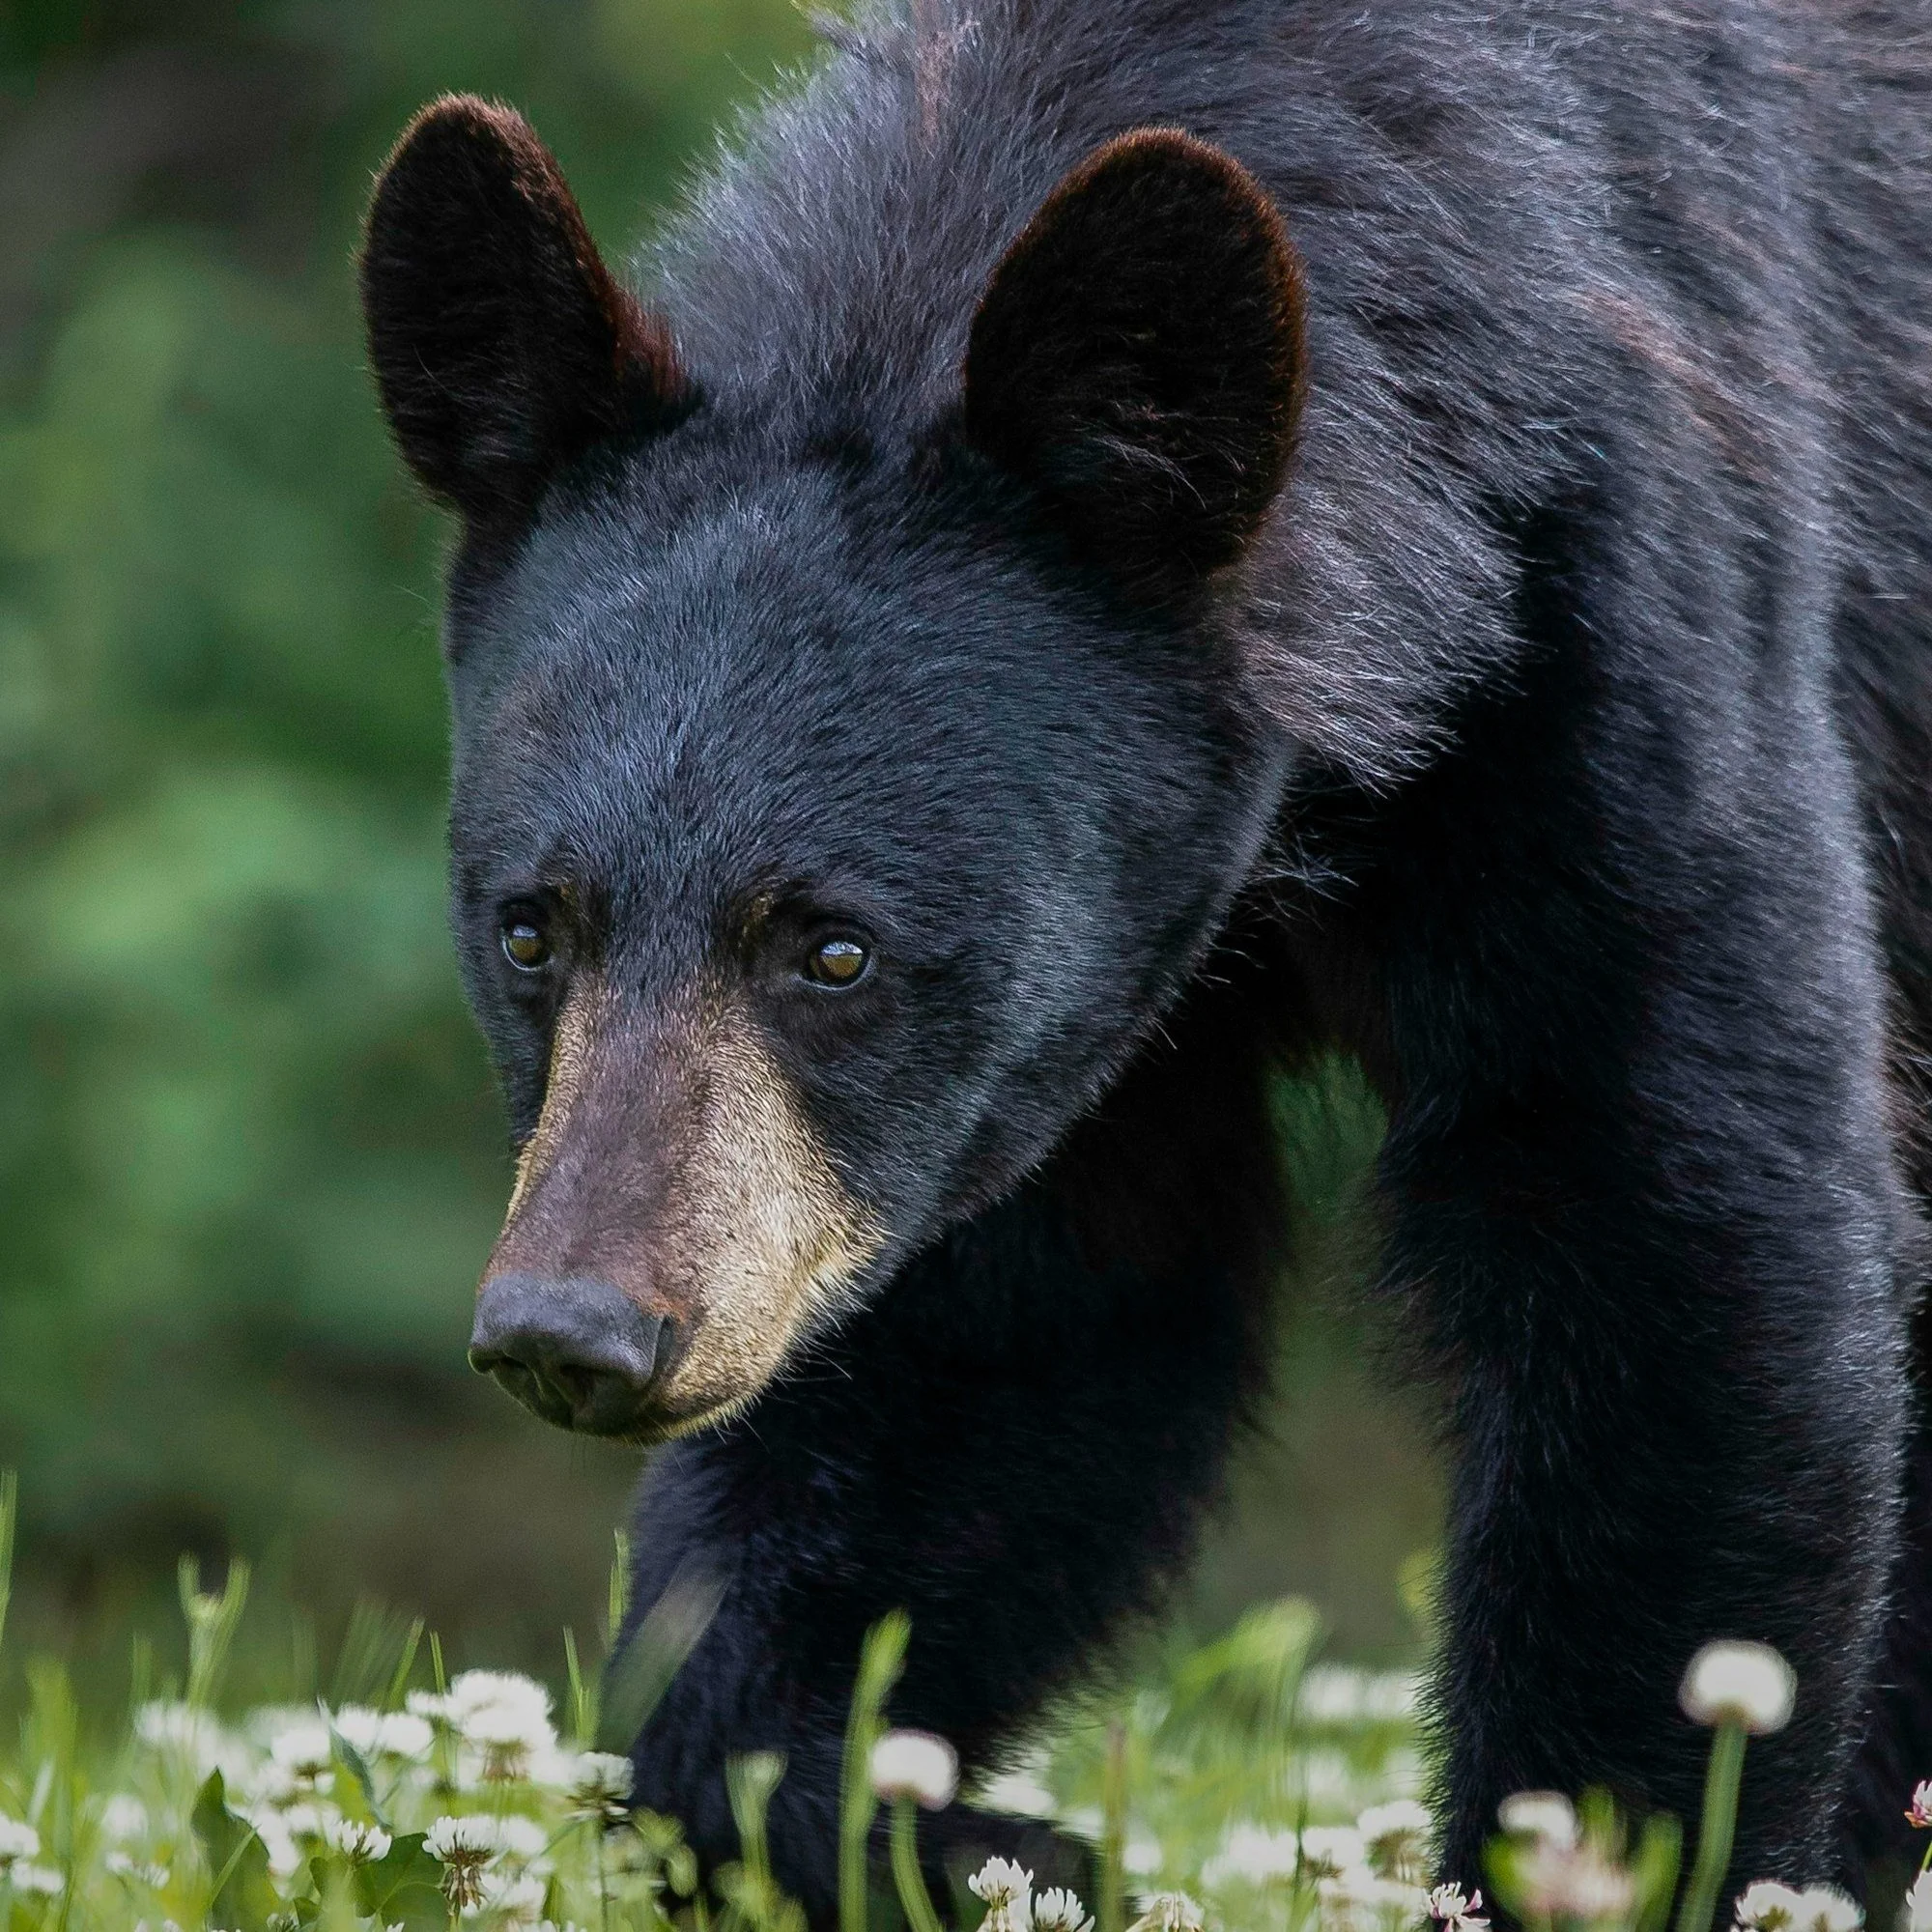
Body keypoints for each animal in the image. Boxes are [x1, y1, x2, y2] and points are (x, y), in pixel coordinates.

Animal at [357, 0, 1932, 1911]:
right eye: (532, 928)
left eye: (833, 950)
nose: (576, 1332)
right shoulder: (1049, 1041)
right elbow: (1012, 1346)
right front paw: (956, 1832)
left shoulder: (1627, 621)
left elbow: (1678, 1235)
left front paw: (1595, 1858)